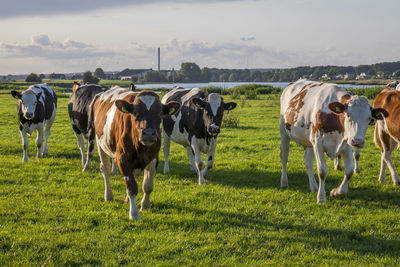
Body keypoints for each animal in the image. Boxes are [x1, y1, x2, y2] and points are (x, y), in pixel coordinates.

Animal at [90, 87, 180, 221]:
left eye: (160, 113)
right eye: (136, 113)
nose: (148, 133)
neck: (141, 148)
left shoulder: (154, 158)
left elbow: (148, 186)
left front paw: (145, 205)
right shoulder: (122, 158)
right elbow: (131, 187)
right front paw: (134, 214)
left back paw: (127, 199)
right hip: (100, 143)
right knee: (105, 169)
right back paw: (109, 196)